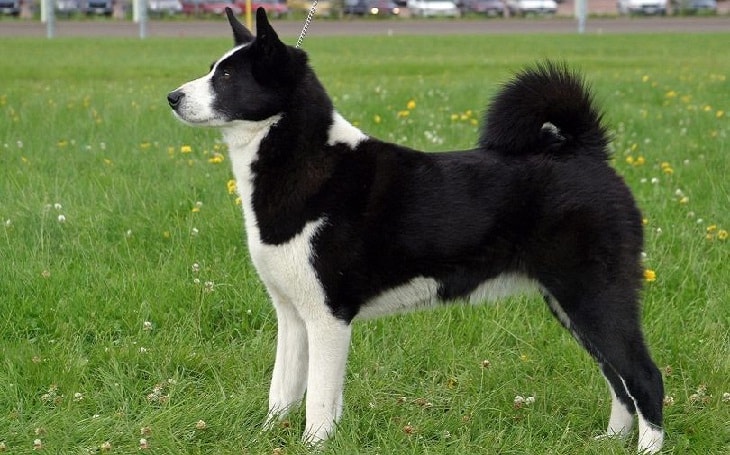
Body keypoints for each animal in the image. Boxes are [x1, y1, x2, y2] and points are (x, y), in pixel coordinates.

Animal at [168, 8, 664, 454]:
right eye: (213, 68)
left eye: (226, 76)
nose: (172, 96)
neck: (306, 160)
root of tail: (586, 153)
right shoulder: (292, 315)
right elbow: (282, 392)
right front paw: (267, 438)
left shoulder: (329, 317)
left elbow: (319, 402)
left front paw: (313, 445)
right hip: (570, 305)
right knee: (618, 380)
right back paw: (612, 440)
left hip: (595, 297)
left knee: (644, 377)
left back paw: (647, 447)